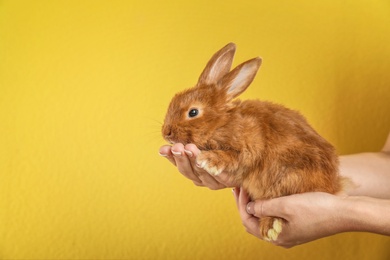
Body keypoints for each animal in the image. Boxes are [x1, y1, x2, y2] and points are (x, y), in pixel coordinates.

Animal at [161, 42, 344, 242]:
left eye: (193, 112)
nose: (166, 132)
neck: (220, 122)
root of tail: (333, 185)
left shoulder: (249, 146)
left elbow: (233, 156)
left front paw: (208, 160)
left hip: (289, 179)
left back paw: (270, 227)